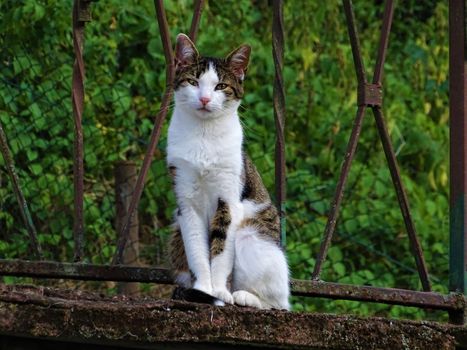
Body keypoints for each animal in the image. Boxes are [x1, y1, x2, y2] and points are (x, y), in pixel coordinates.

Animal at [166, 34, 290, 310]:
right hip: (176, 234)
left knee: (278, 303)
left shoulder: (229, 201)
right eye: (193, 82)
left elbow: (221, 251)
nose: (204, 99)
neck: (203, 135)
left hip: (251, 236)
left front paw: (219, 292)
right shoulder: (186, 203)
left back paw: (242, 296)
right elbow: (198, 250)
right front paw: (204, 289)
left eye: (221, 86)